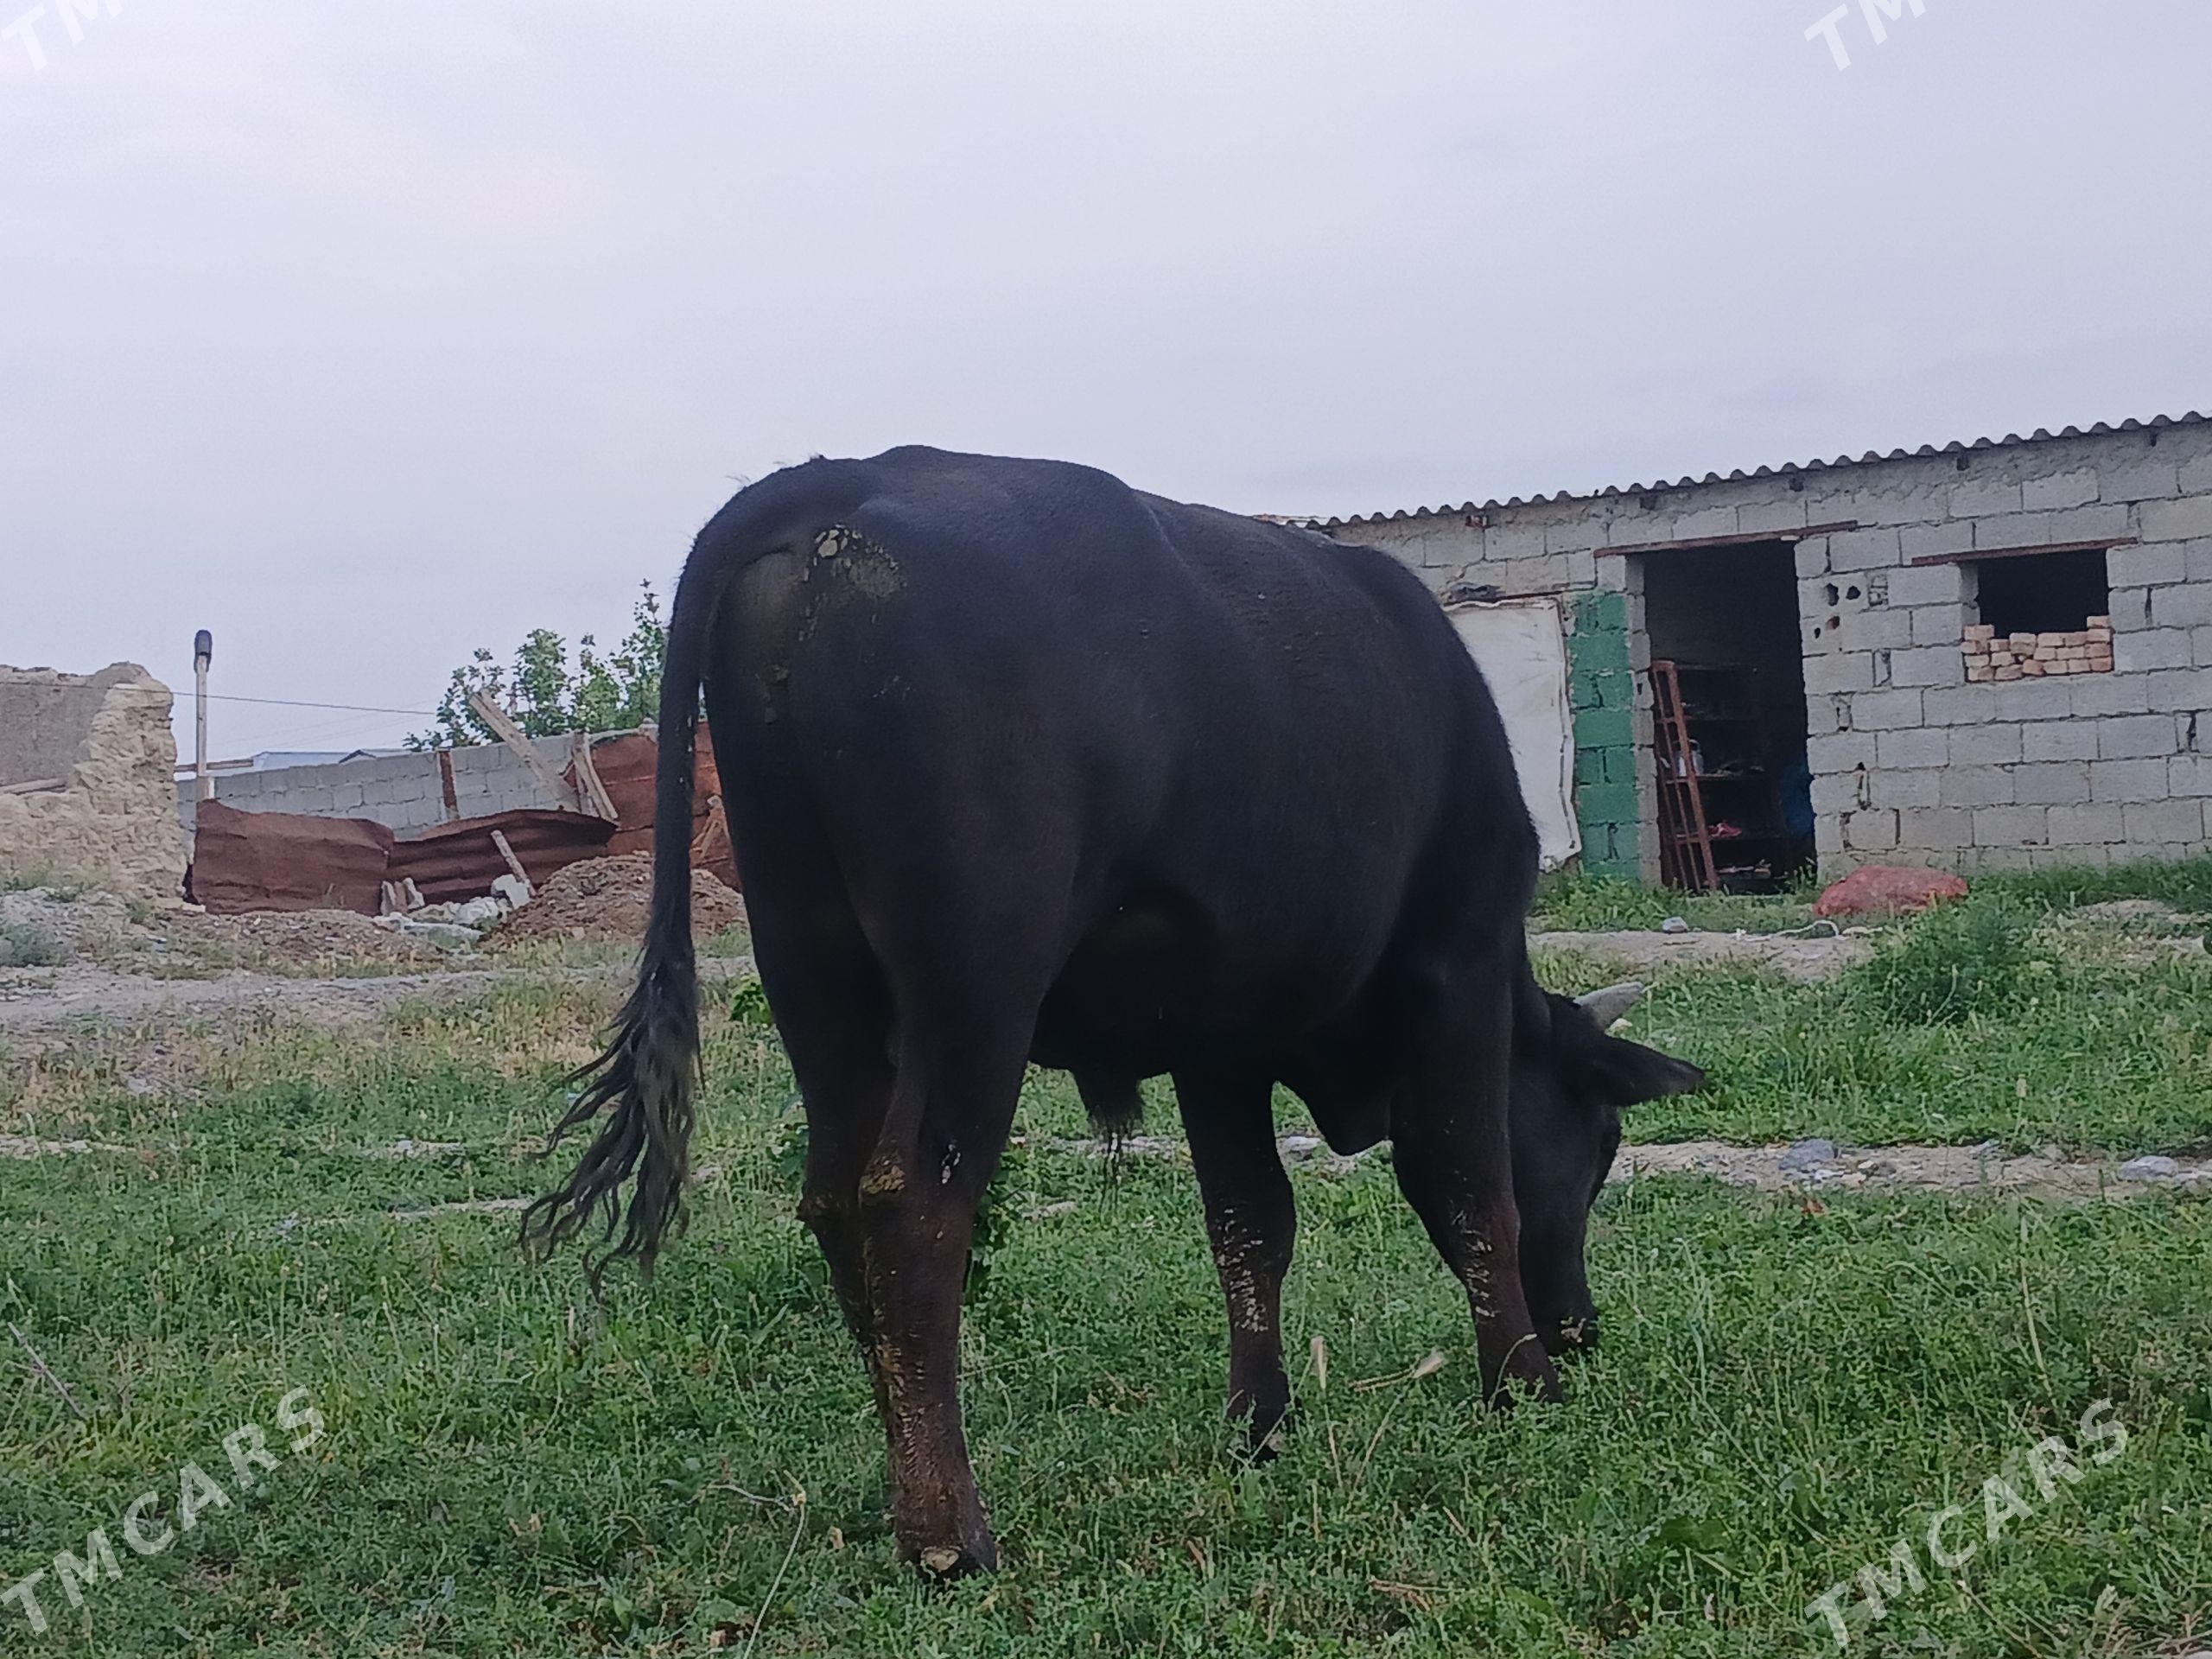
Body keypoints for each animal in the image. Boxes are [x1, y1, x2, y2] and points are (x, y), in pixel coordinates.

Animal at [523, 447, 1704, 1576]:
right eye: (1602, 1143)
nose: (1581, 1330)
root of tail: (844, 479)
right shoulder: (1454, 962)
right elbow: (1472, 1189)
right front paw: (1522, 1385)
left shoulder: (1221, 1036)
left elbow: (1250, 1223)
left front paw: (1259, 1422)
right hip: (975, 974)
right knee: (913, 1208)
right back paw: (951, 1534)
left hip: (814, 970)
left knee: (834, 1206)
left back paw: (909, 1490)